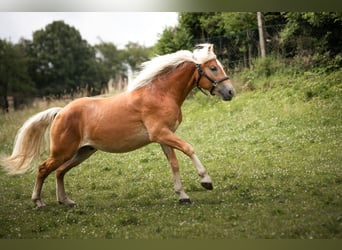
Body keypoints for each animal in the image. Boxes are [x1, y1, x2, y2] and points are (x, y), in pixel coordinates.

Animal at [0, 44, 234, 208]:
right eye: (213, 68)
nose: (230, 92)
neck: (160, 94)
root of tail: (61, 112)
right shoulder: (161, 134)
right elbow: (189, 148)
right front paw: (206, 181)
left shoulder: (164, 137)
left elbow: (174, 164)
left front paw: (183, 196)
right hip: (62, 152)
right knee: (43, 168)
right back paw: (38, 202)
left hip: (83, 152)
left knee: (59, 172)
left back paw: (66, 201)